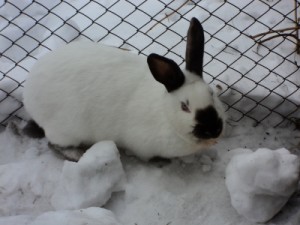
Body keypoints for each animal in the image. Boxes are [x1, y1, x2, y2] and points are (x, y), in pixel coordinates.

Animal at [22, 17, 225, 162]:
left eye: (212, 95)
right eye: (184, 106)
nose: (213, 130)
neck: (165, 113)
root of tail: (28, 94)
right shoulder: (143, 145)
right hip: (66, 129)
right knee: (54, 144)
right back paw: (77, 155)